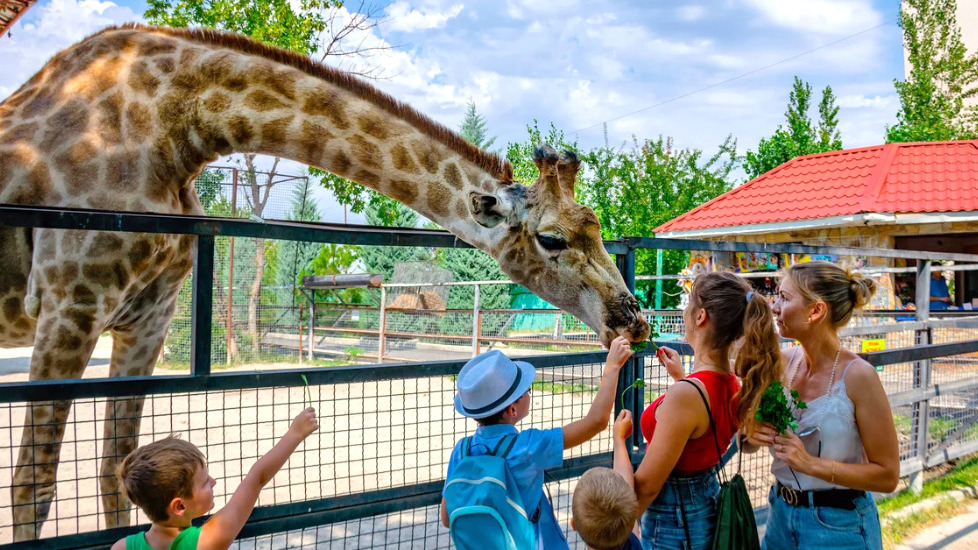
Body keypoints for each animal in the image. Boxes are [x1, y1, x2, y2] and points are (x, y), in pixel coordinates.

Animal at [0, 23, 648, 540]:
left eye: (596, 226)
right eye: (552, 239)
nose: (634, 320)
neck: (177, 125)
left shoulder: (148, 318)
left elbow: (117, 472)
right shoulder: (69, 303)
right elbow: (32, 486)